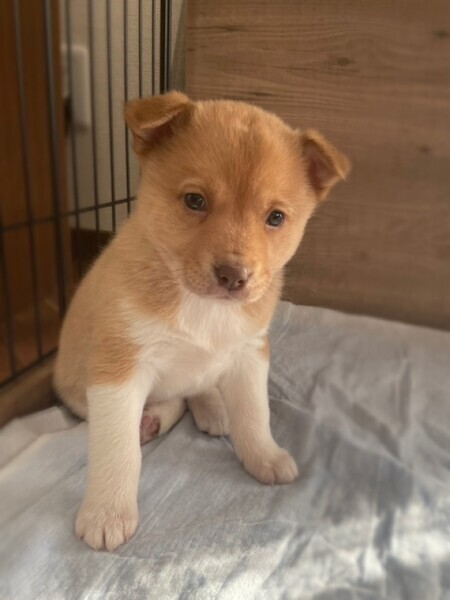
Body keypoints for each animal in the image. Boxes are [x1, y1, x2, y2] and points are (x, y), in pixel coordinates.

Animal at [54, 92, 350, 551]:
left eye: (275, 217)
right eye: (195, 201)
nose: (233, 276)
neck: (202, 306)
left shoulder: (249, 354)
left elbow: (255, 414)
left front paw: (264, 456)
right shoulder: (119, 367)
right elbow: (118, 449)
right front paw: (107, 512)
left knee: (196, 391)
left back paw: (211, 406)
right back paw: (153, 420)